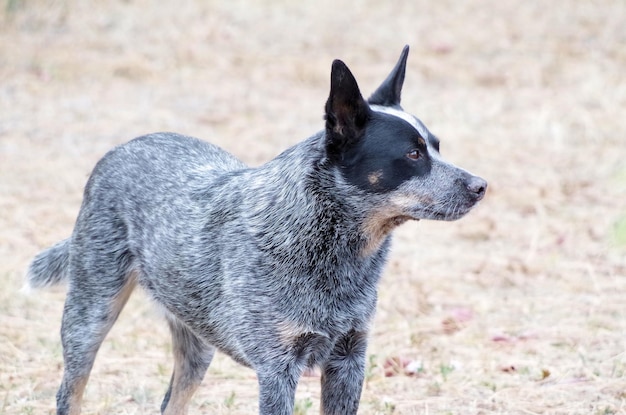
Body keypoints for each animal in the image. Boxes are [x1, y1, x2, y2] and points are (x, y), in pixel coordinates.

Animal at [28, 45, 488, 415]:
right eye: (412, 154)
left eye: (437, 147)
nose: (481, 186)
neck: (331, 247)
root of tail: (123, 148)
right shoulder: (277, 368)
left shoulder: (349, 358)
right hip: (90, 313)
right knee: (70, 391)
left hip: (197, 343)